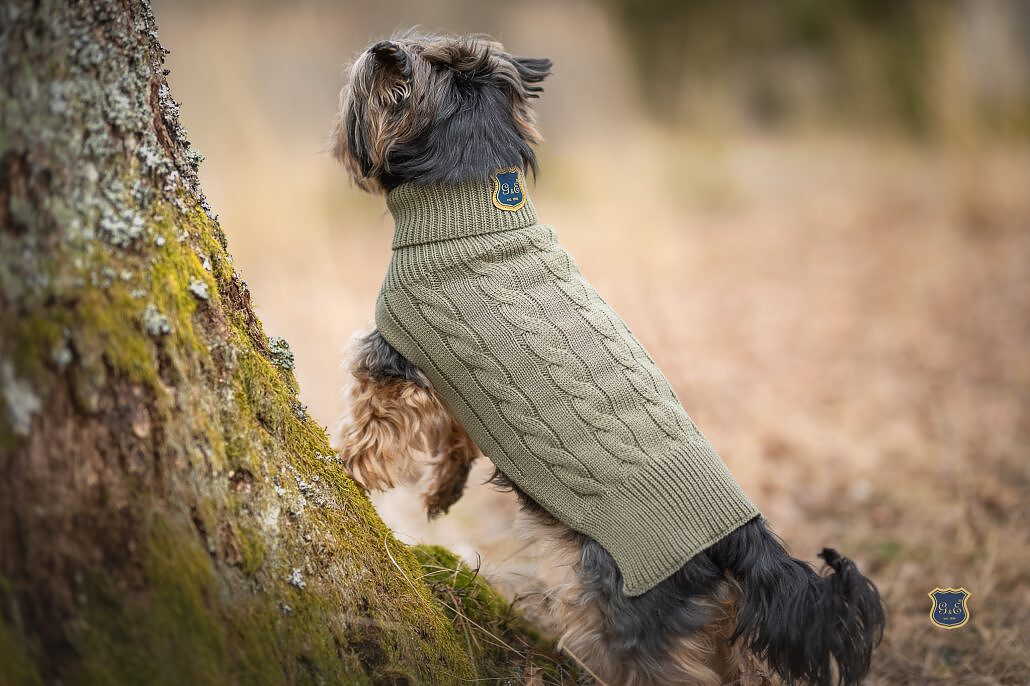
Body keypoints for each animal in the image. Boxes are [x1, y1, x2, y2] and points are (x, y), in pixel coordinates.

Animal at [331, 32, 885, 683]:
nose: (377, 50)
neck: (470, 207)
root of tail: (741, 536)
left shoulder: (393, 357)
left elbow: (372, 429)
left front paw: (342, 468)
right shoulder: (451, 378)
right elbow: (456, 436)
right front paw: (442, 489)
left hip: (623, 613)